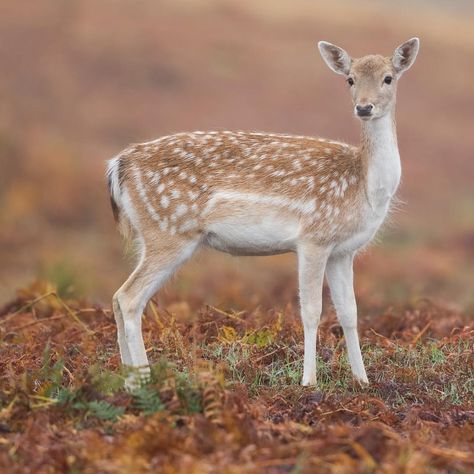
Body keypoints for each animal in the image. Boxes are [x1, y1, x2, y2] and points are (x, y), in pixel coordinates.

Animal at [106, 36, 418, 386]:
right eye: (349, 79)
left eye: (388, 78)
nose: (364, 107)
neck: (363, 186)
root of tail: (118, 165)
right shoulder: (313, 238)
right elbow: (311, 311)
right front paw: (308, 382)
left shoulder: (343, 250)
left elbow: (350, 312)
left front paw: (362, 380)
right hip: (168, 232)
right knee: (129, 298)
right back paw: (143, 380)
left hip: (151, 235)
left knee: (119, 298)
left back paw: (127, 380)